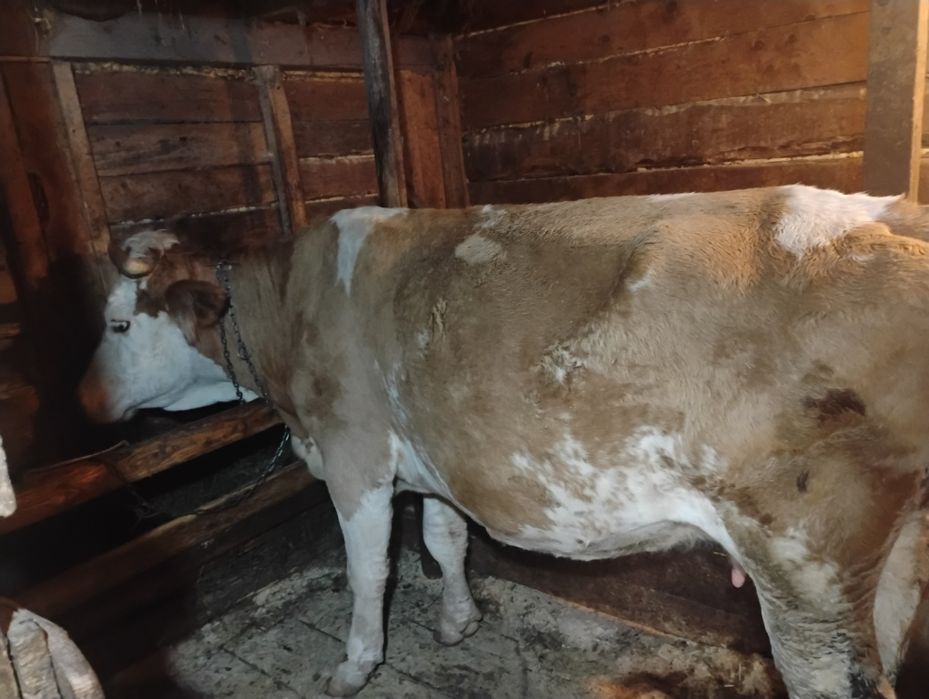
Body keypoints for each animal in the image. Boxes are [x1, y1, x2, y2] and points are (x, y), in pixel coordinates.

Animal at [77, 185, 929, 698]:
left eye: (117, 324)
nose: (84, 399)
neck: (290, 312)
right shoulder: (432, 450)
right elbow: (446, 537)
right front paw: (458, 619)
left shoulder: (353, 450)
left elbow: (367, 570)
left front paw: (355, 663)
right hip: (892, 553)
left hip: (802, 564)